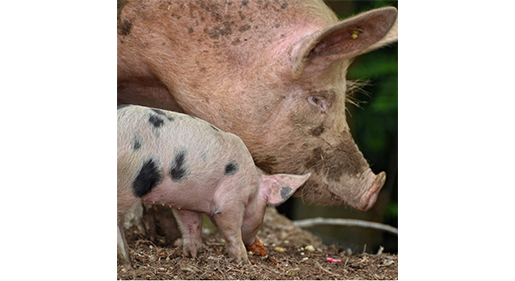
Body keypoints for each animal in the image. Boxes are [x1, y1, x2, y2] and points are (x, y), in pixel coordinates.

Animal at [117, 104, 310, 264]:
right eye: (265, 209)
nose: (252, 242)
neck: (253, 184)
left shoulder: (186, 200)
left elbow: (191, 225)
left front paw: (193, 255)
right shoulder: (232, 197)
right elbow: (231, 229)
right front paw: (243, 260)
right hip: (128, 180)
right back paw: (127, 262)